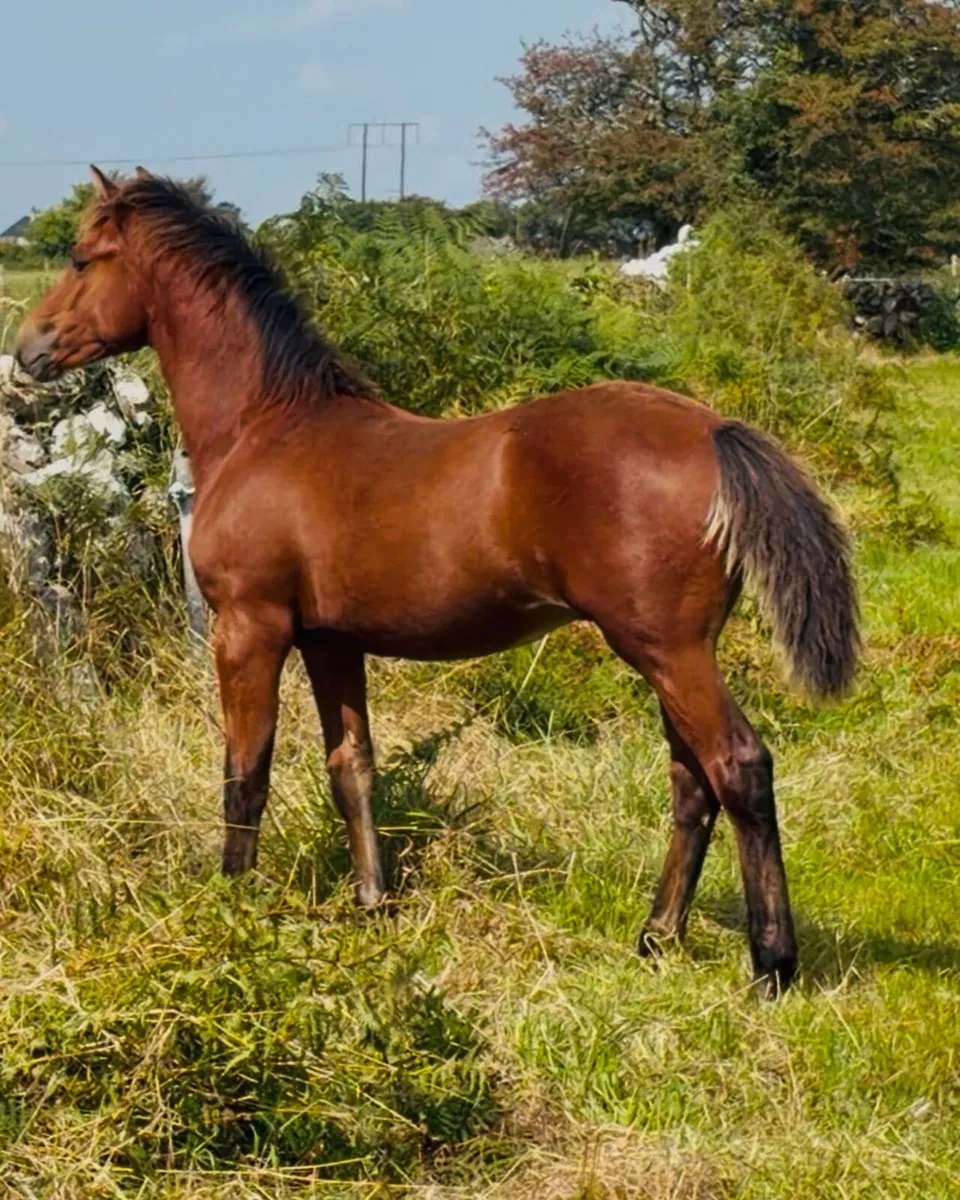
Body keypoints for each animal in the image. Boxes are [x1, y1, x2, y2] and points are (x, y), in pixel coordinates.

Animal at [16, 167, 859, 995]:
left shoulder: (249, 629)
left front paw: (230, 910)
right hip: (668, 655)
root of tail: (713, 431)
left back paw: (771, 965)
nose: (27, 349)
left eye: (83, 258)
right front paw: (372, 902)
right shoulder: (330, 641)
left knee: (738, 768)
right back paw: (656, 936)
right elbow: (351, 768)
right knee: (692, 782)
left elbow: (244, 773)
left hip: (668, 651)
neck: (267, 429)